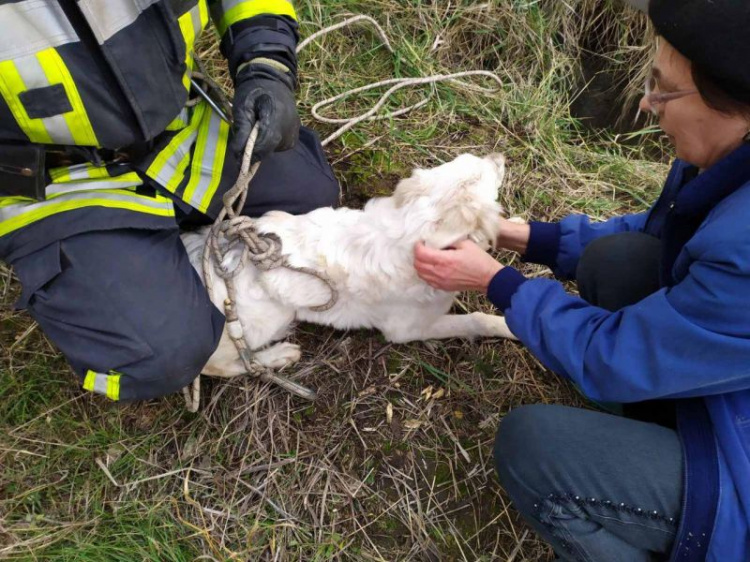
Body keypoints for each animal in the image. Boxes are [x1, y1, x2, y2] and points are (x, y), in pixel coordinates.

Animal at [181, 153, 516, 376]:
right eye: (486, 174)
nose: (499, 155)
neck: (411, 231)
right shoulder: (407, 329)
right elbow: (475, 319)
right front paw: (506, 327)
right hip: (263, 319)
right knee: (221, 366)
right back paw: (277, 356)